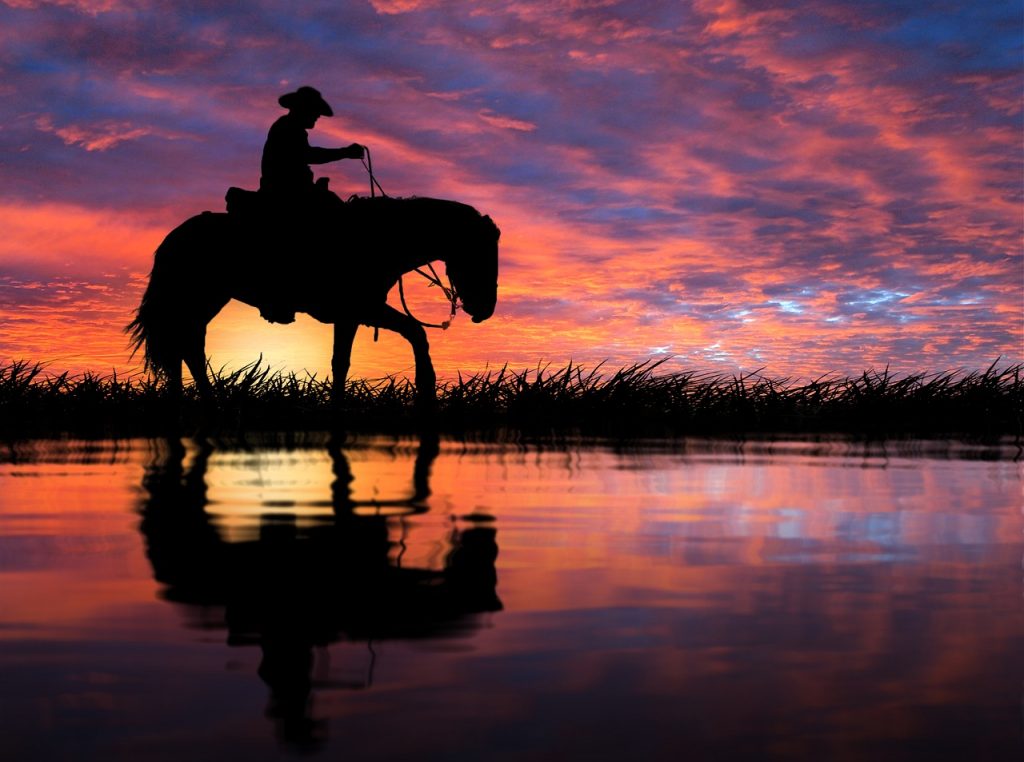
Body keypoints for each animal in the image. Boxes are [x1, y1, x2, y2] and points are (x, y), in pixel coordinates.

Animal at [128, 197, 499, 405]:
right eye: (481, 254)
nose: (484, 310)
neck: (381, 238)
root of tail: (174, 237)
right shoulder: (360, 310)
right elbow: (410, 335)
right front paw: (426, 388)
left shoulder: (357, 314)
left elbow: (344, 359)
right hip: (198, 300)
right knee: (185, 345)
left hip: (203, 302)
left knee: (184, 346)